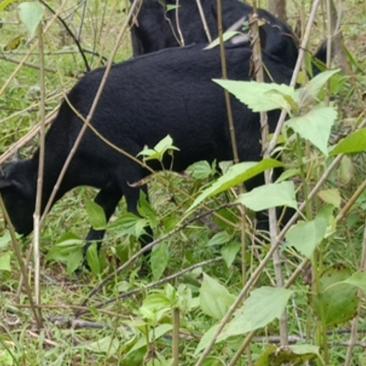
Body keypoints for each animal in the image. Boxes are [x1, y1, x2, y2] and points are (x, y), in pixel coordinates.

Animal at [0, 43, 292, 249]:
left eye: (10, 198)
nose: (19, 231)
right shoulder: (110, 182)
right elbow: (97, 225)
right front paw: (86, 266)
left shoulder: (128, 169)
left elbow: (142, 222)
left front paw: (144, 273)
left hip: (256, 150)